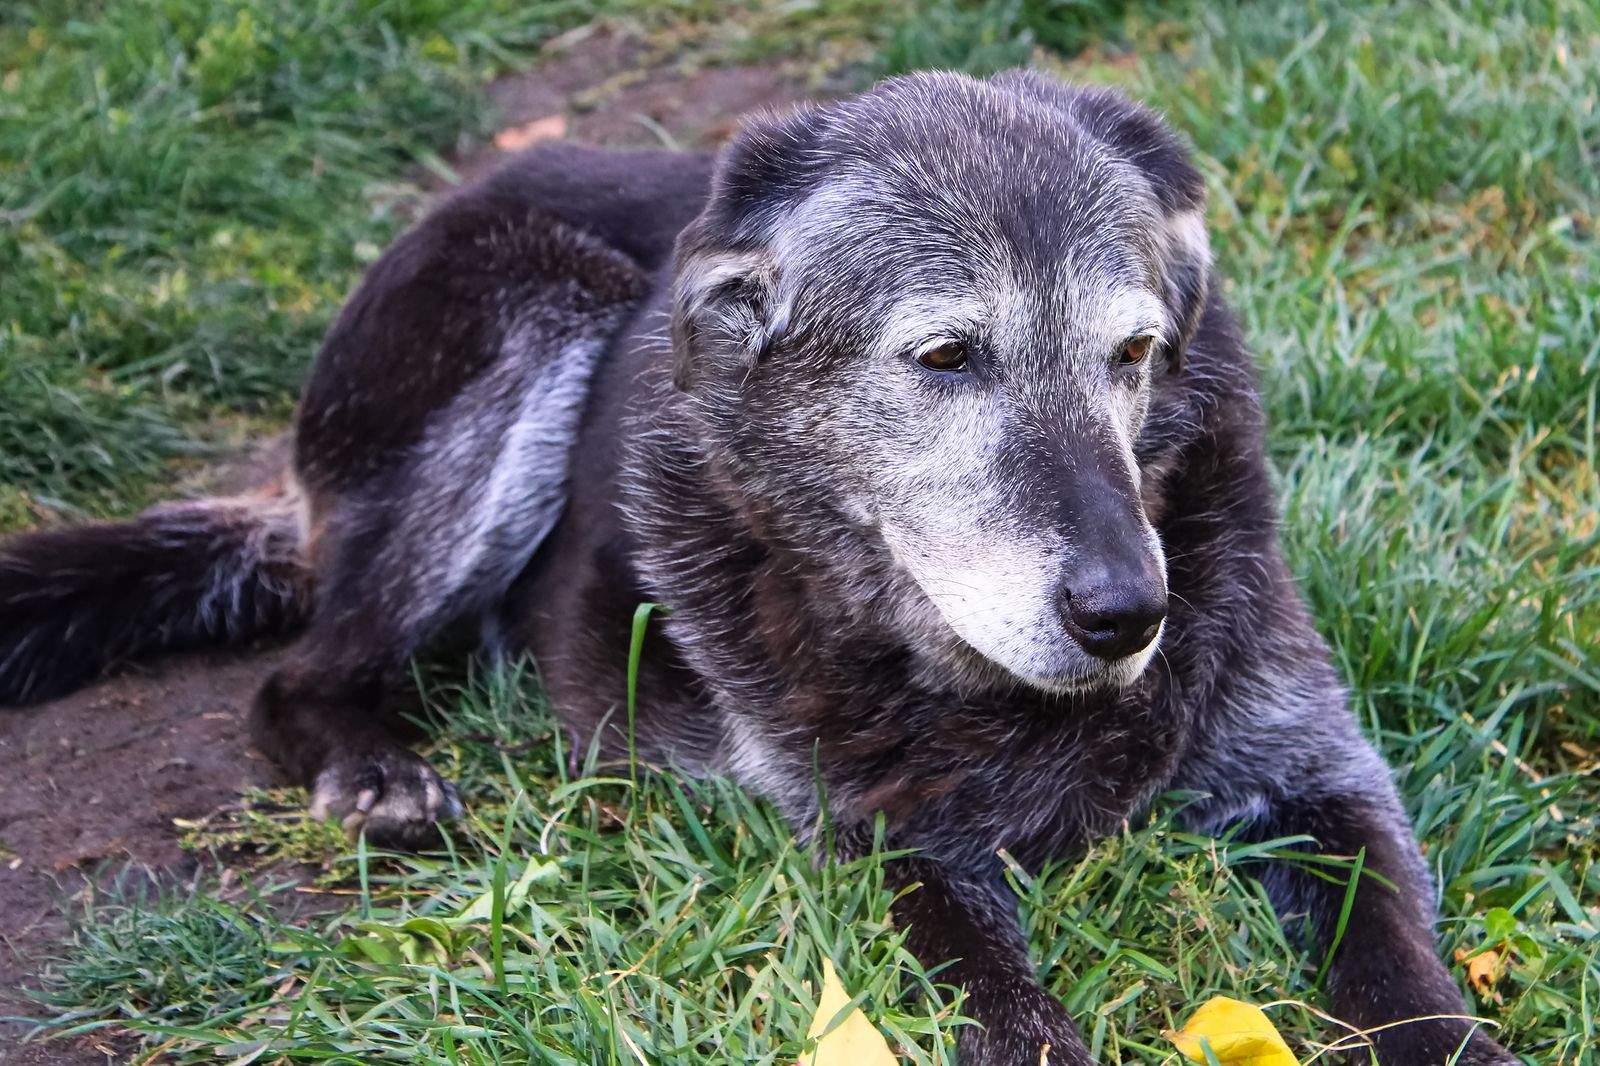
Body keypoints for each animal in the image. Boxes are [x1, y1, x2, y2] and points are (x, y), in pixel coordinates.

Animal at [3, 70, 1510, 1056]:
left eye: (1135, 351)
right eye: (944, 357)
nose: (1129, 613)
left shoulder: (1320, 775)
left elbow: (1401, 966)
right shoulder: (886, 851)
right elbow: (1011, 1013)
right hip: (526, 314)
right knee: (303, 668)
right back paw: (373, 768)